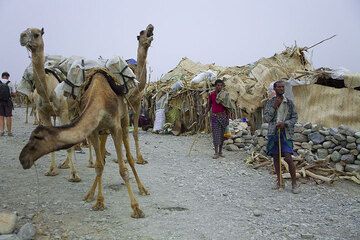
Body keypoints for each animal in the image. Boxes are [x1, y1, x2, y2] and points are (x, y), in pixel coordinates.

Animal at [19, 27, 81, 182]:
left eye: (36, 34)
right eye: (24, 31)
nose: (22, 36)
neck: (47, 90)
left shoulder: (63, 111)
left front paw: (74, 175)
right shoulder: (43, 113)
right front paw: (51, 170)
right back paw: (64, 164)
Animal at [19, 65, 146, 218]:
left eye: (36, 138)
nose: (22, 158)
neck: (100, 99)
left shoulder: (115, 127)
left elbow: (123, 169)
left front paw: (136, 208)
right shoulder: (93, 131)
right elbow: (99, 166)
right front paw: (99, 202)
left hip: (125, 118)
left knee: (129, 156)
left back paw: (142, 188)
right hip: (103, 130)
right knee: (102, 160)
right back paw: (90, 194)